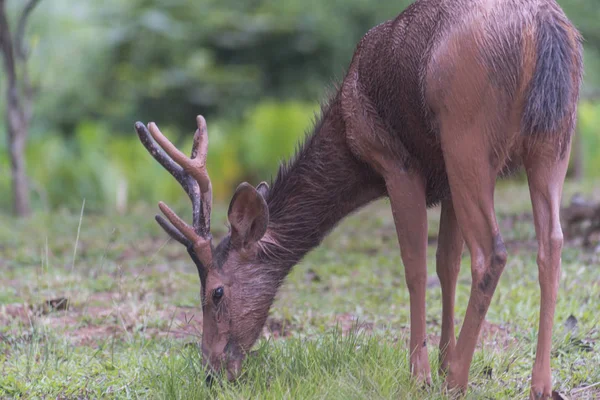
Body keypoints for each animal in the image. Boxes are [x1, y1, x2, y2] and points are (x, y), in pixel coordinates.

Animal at [132, 0, 580, 396]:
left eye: (216, 292)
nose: (212, 372)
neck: (349, 139)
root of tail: (544, 27)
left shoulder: (397, 162)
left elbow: (416, 267)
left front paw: (423, 374)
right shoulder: (445, 182)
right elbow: (446, 263)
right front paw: (441, 358)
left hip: (467, 133)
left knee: (492, 251)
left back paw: (458, 382)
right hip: (555, 137)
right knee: (551, 243)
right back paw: (540, 384)